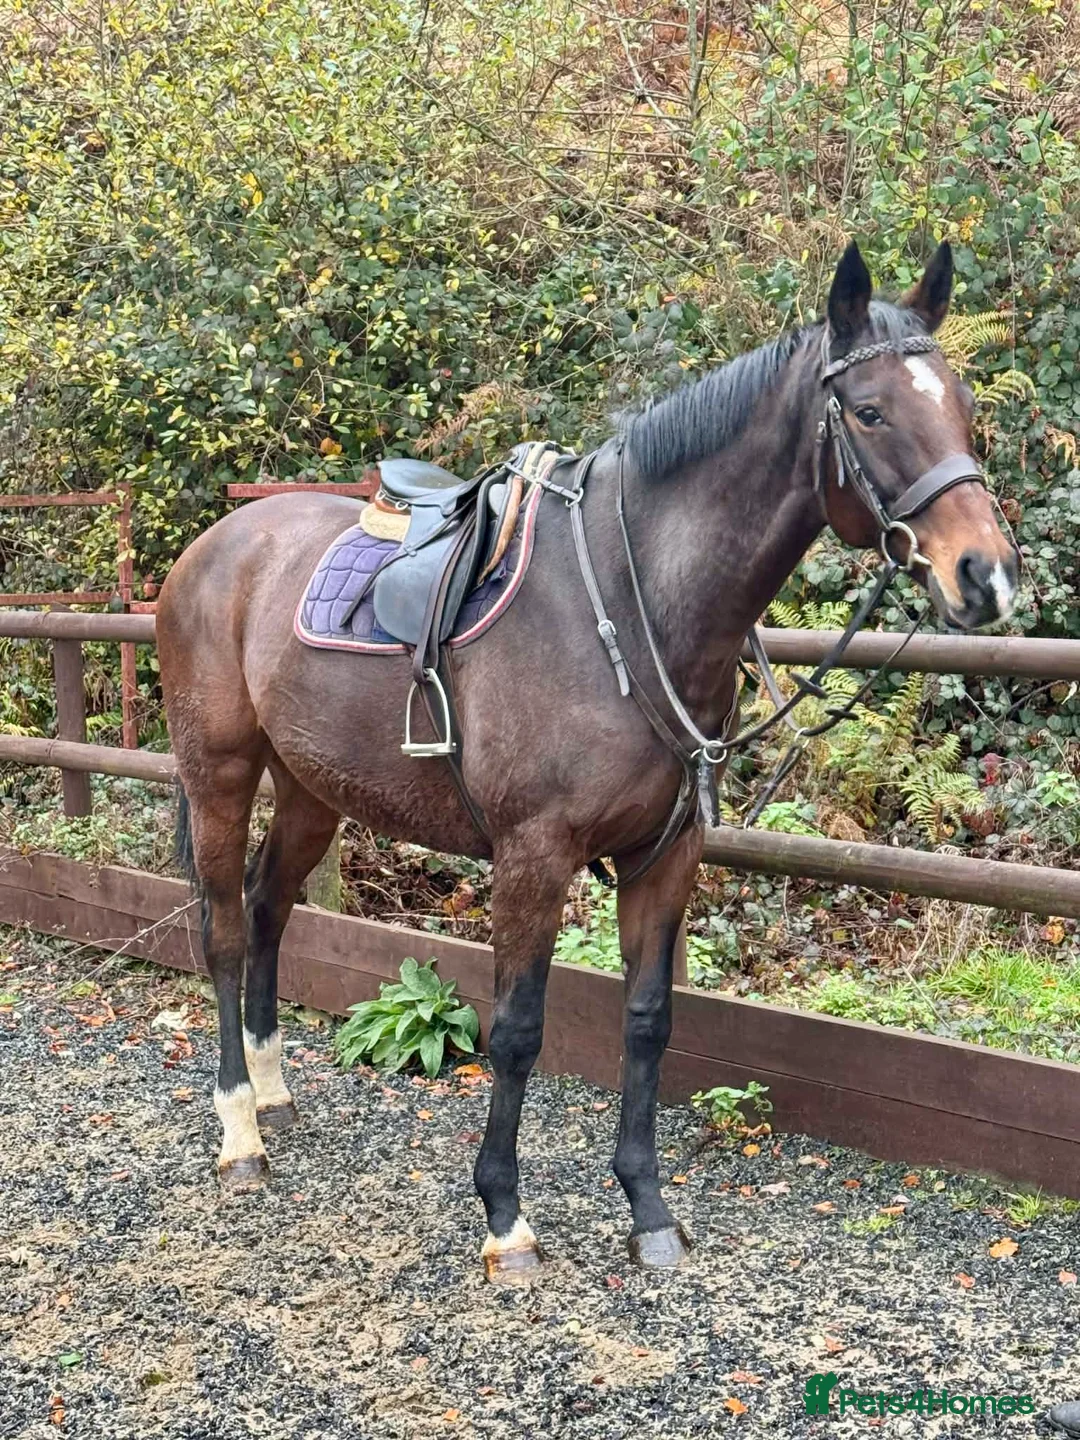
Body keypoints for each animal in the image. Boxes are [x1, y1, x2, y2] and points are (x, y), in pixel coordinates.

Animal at [157, 241, 1019, 1279]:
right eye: (870, 411)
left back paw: (275, 1094)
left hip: (311, 790)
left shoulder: (665, 856)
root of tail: (215, 545)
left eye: (962, 404)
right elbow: (518, 1031)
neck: (628, 600)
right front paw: (505, 1218)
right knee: (223, 930)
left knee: (268, 911)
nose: (986, 575)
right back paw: (240, 1134)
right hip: (220, 774)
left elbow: (648, 1022)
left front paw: (647, 1209)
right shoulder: (534, 857)